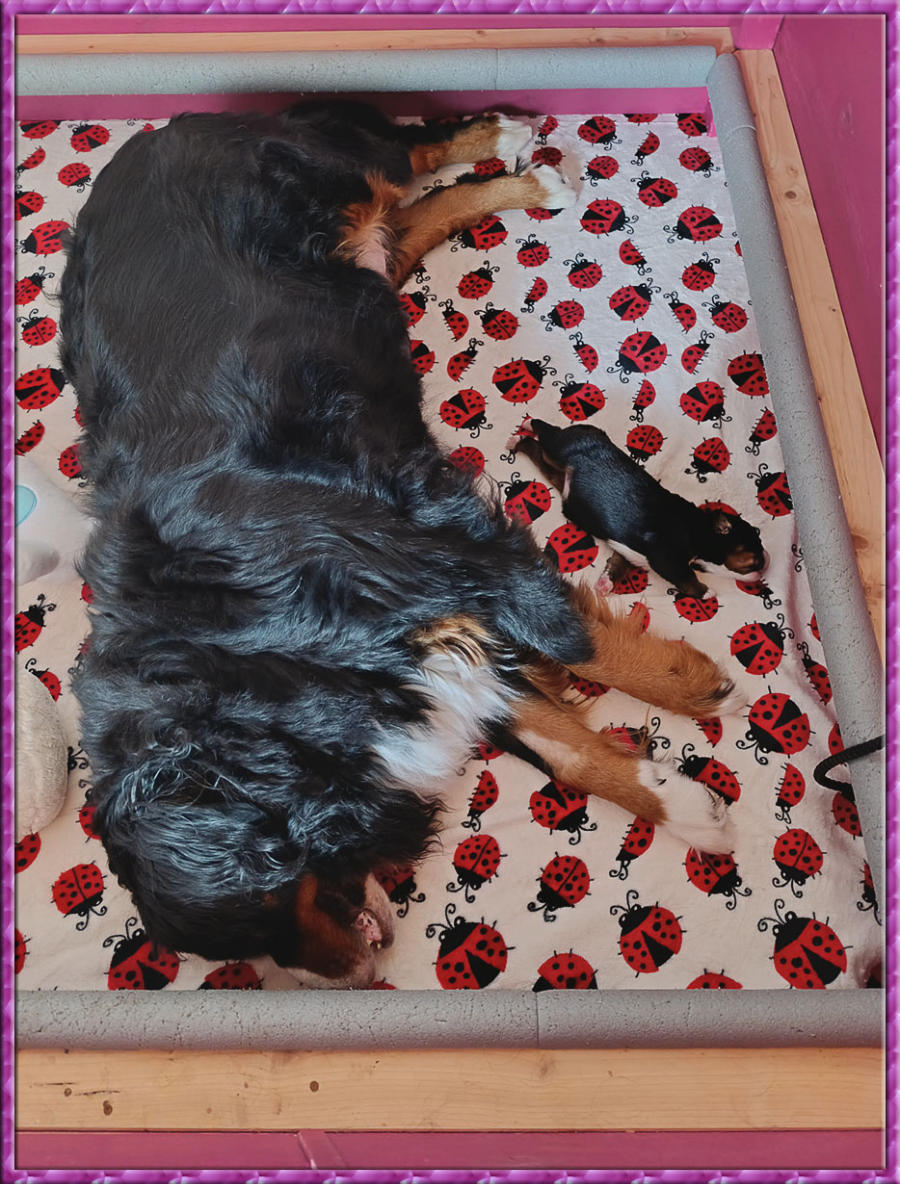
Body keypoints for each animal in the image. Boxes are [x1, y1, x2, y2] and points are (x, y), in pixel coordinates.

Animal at [509, 417, 766, 599]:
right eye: (755, 558)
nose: (767, 562)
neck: (697, 528)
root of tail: (590, 429)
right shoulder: (664, 552)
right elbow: (685, 577)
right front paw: (705, 592)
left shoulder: (629, 550)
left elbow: (618, 563)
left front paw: (605, 584)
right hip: (561, 447)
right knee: (547, 431)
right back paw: (527, 426)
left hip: (554, 469)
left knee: (535, 450)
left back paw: (518, 441)